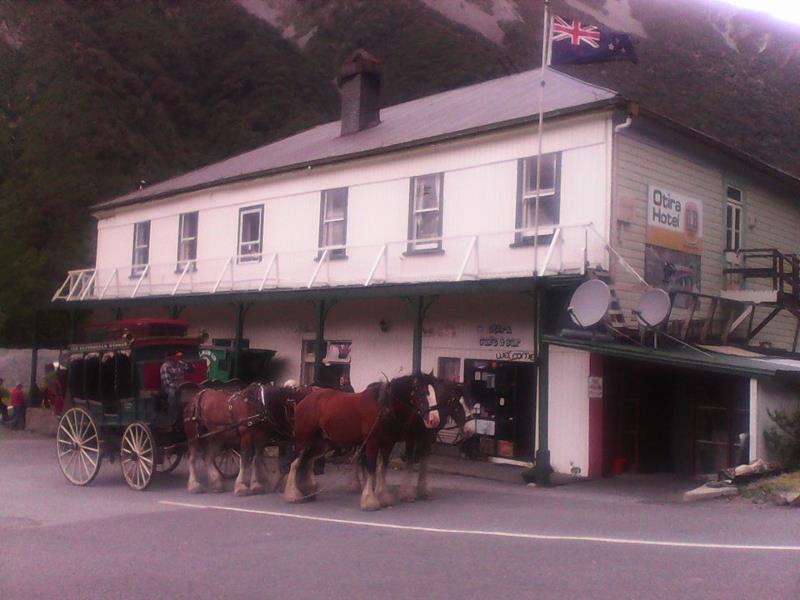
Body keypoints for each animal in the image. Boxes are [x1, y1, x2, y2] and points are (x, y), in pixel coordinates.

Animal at [282, 376, 438, 510]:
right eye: (423, 393)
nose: (434, 420)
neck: (383, 407)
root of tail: (304, 400)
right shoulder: (372, 442)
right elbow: (371, 467)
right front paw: (370, 501)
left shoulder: (388, 443)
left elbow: (382, 468)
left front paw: (384, 497)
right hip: (302, 440)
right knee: (295, 463)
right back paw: (293, 494)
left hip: (322, 443)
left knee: (307, 460)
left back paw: (308, 491)